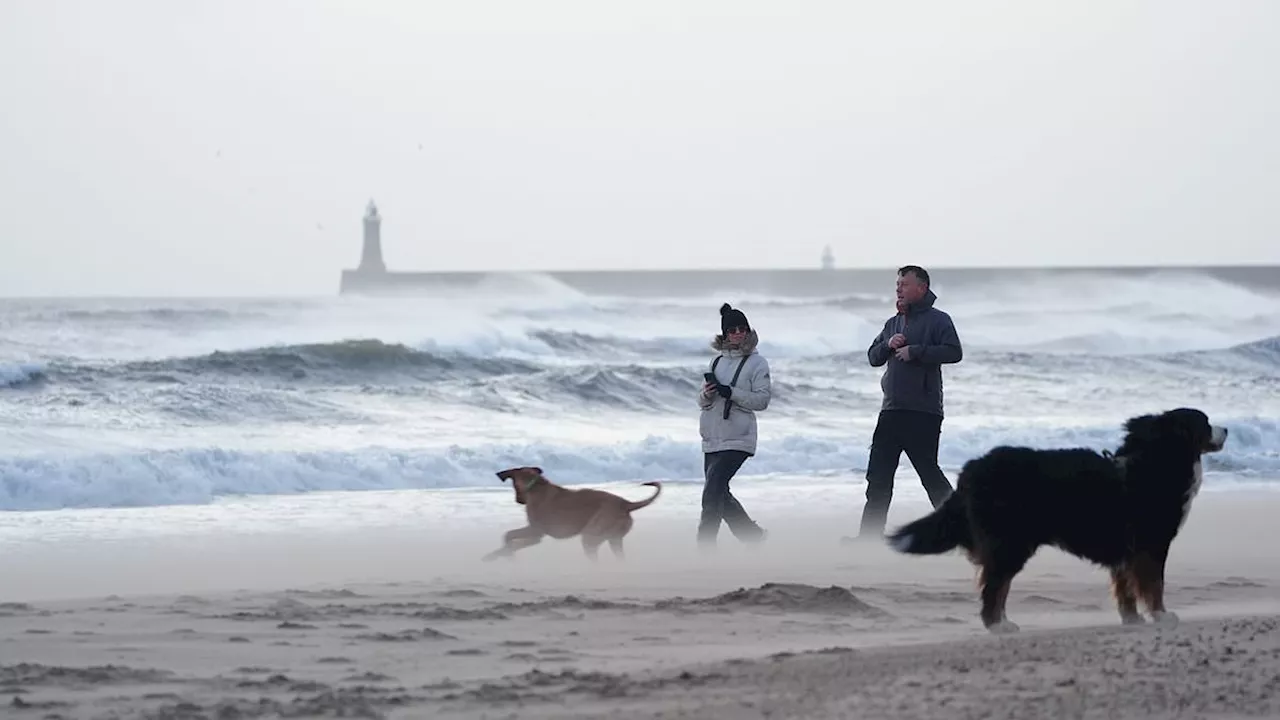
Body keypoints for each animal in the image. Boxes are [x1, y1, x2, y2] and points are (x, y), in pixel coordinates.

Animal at [481, 466, 670, 561]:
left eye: (513, 485)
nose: (518, 501)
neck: (535, 485)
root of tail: (626, 504)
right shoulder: (536, 535)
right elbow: (511, 540)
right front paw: (505, 553)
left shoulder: (536, 532)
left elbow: (509, 537)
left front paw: (500, 554)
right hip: (614, 539)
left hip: (592, 536)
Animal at [885, 407, 1223, 630]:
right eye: (1206, 423)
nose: (1226, 430)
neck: (1156, 463)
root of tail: (973, 468)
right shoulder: (1151, 544)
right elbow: (1154, 585)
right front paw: (1161, 615)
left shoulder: (1126, 549)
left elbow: (1126, 587)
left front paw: (1132, 618)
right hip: (1010, 542)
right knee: (994, 585)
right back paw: (997, 624)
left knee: (998, 583)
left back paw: (1002, 621)